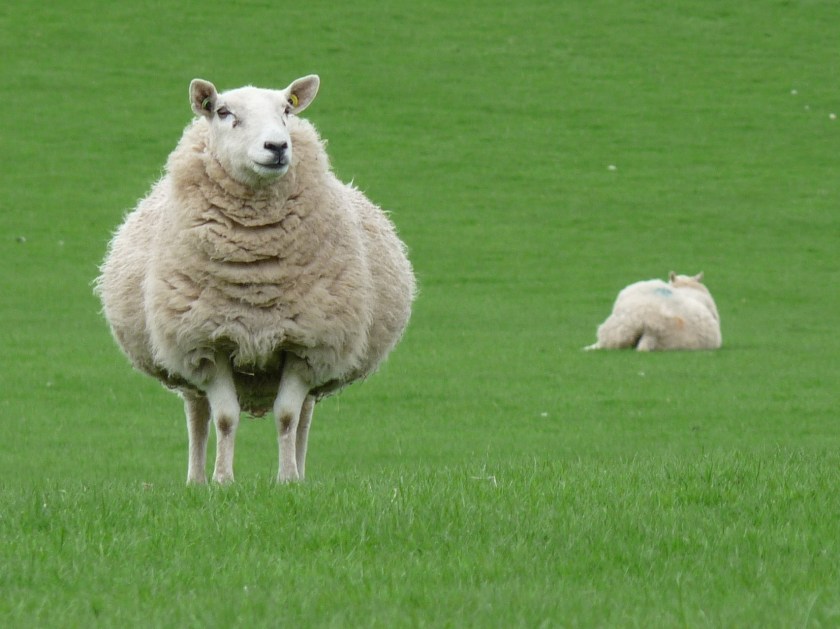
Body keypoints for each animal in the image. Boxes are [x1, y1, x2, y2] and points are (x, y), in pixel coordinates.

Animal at [95, 75, 416, 484]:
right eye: (223, 111)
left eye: (287, 110)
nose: (277, 146)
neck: (257, 269)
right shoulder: (209, 341)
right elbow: (225, 417)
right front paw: (222, 481)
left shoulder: (305, 342)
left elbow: (288, 416)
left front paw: (287, 481)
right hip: (183, 350)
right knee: (197, 414)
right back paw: (196, 480)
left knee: (304, 417)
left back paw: (299, 473)